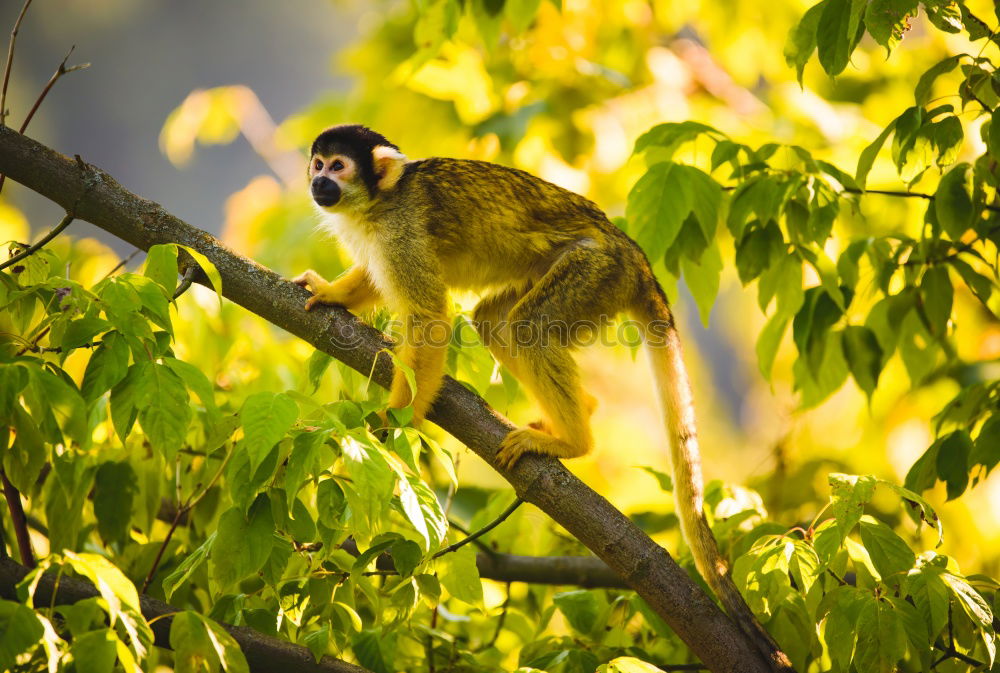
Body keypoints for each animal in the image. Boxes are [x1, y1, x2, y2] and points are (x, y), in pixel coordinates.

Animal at [292, 123, 784, 660]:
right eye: (317, 164)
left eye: (338, 167)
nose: (318, 183)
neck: (378, 202)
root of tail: (633, 252)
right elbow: (381, 284)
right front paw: (334, 293)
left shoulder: (402, 231)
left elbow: (429, 317)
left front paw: (396, 423)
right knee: (495, 322)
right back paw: (580, 409)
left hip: (596, 272)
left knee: (529, 325)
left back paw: (572, 441)